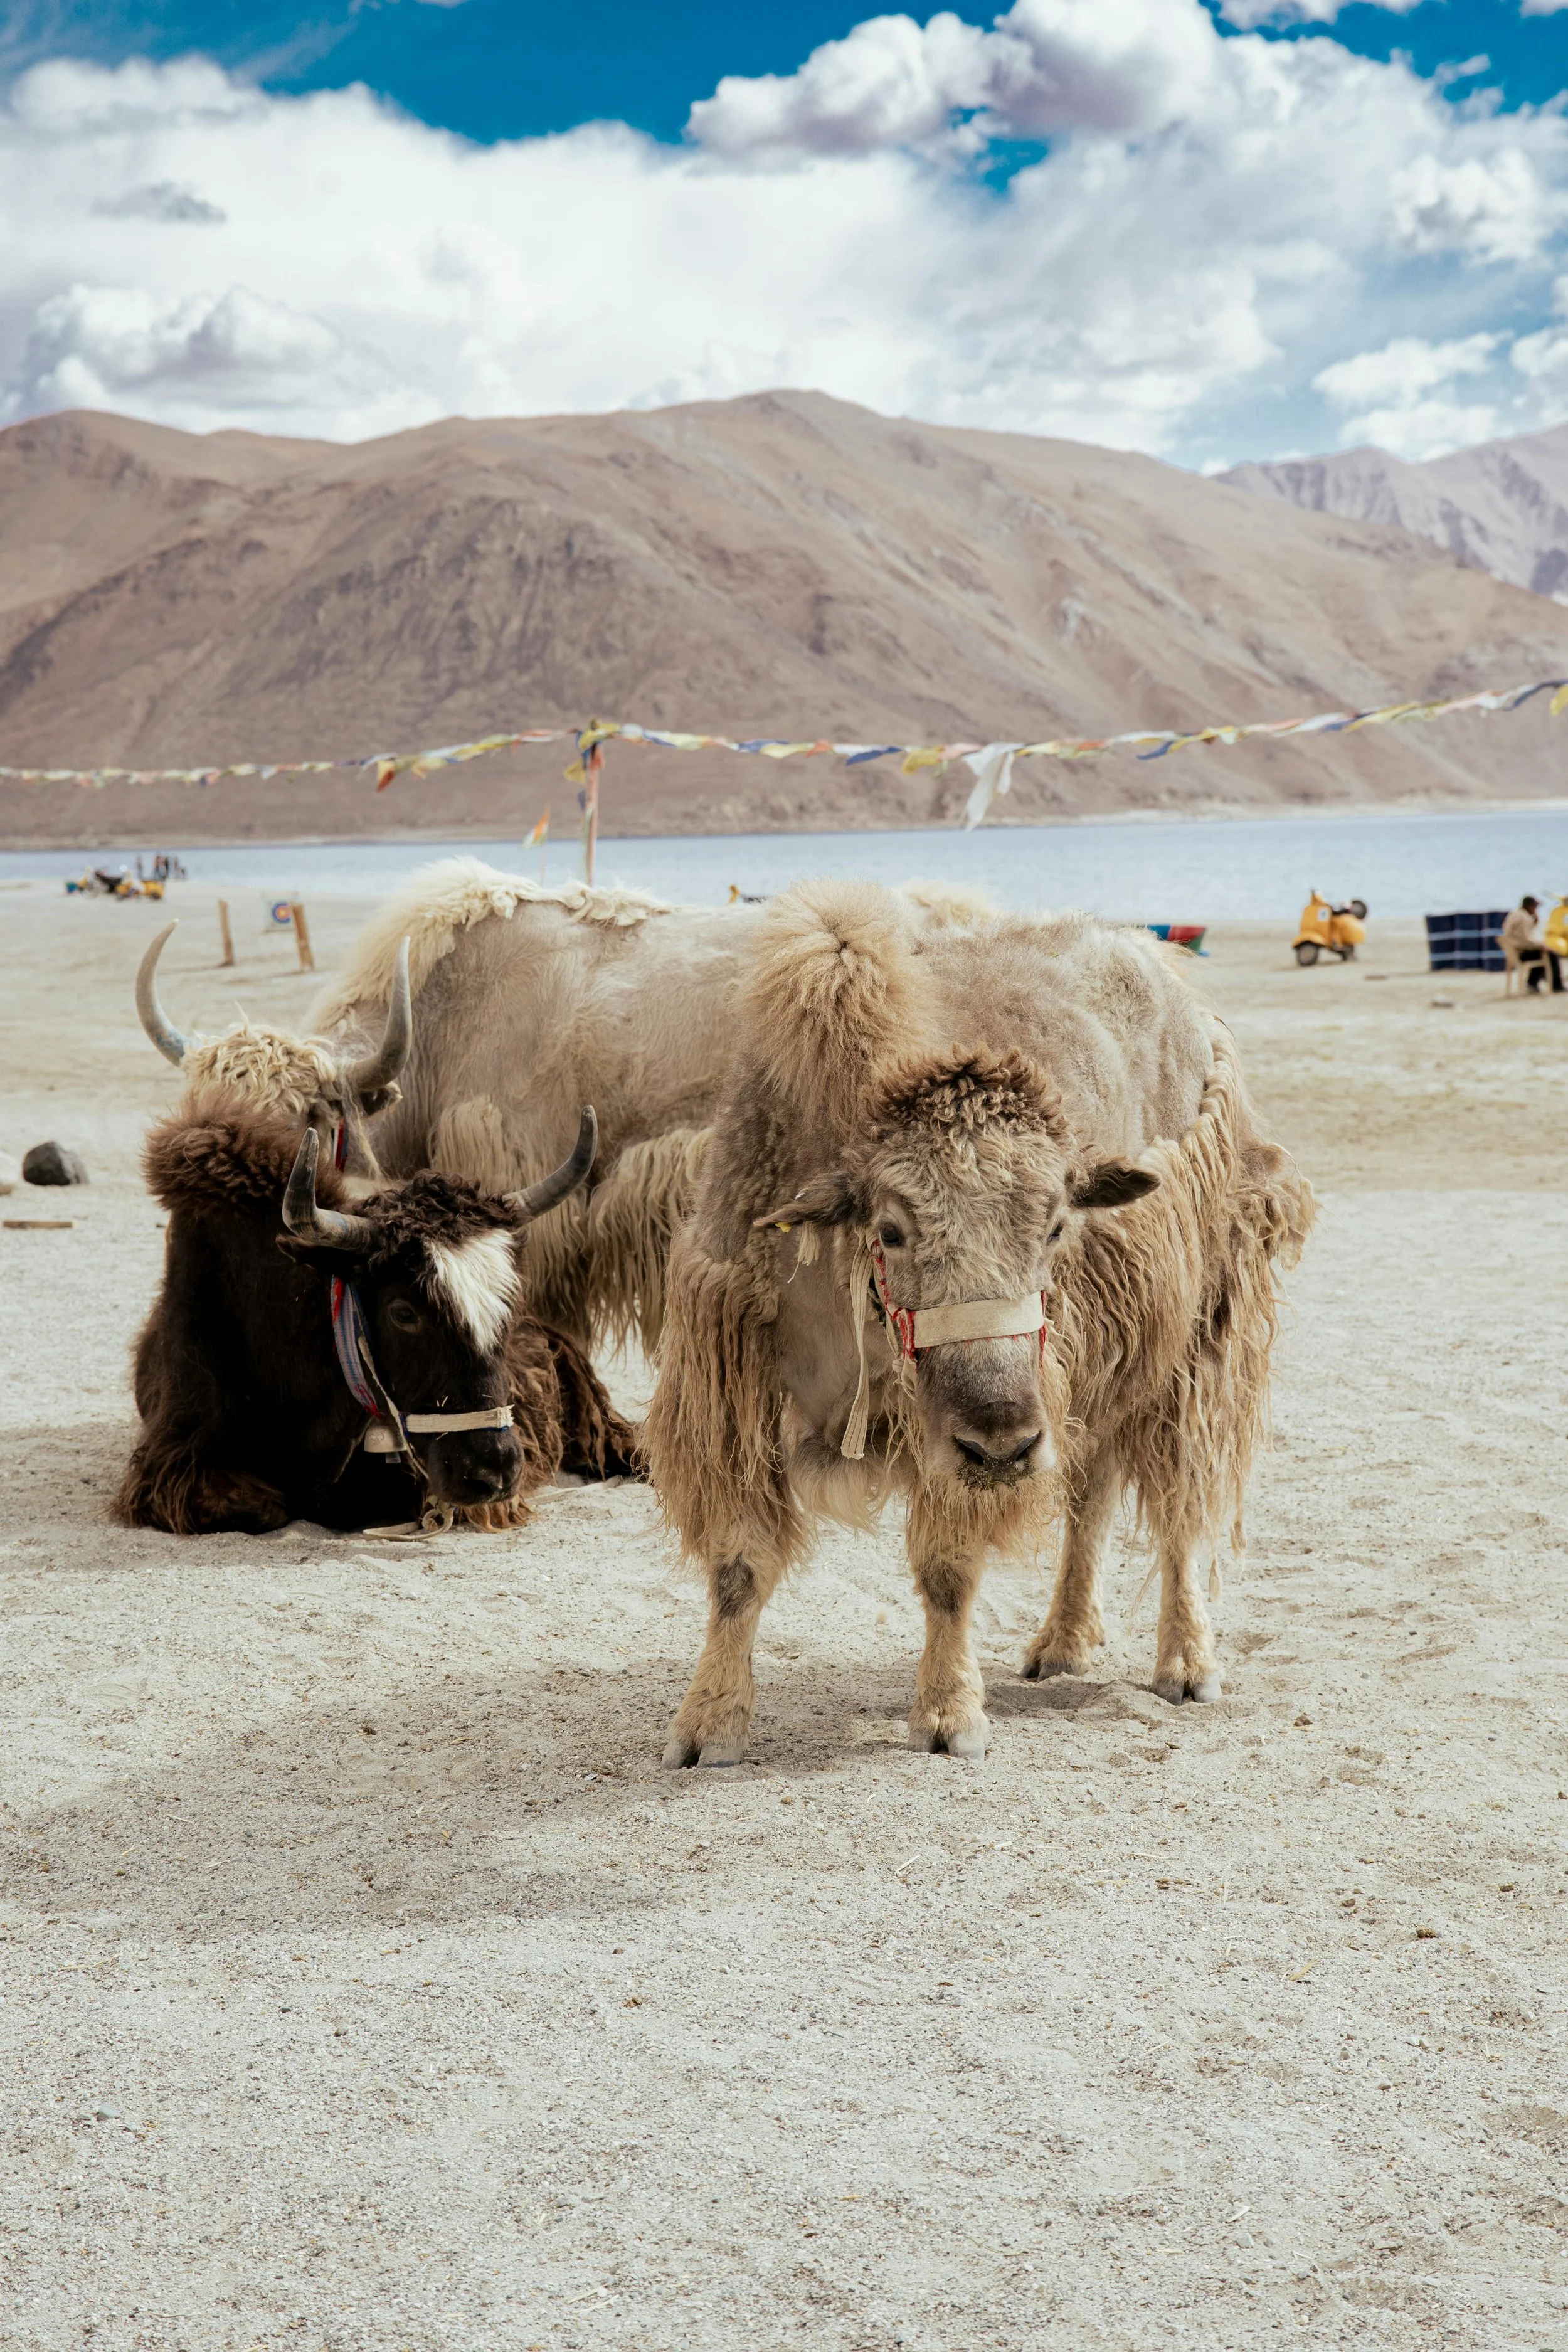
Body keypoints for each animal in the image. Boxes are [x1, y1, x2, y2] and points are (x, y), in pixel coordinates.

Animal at [644, 880, 1315, 1767]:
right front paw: (707, 1725)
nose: (1001, 1443)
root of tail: (1173, 984)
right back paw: (1062, 1644)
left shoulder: (970, 1437)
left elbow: (947, 1570)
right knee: (1091, 1495)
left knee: (1179, 1501)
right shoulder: (733, 1388)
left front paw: (948, 1715)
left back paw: (1186, 1663)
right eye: (890, 1229)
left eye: (1058, 1226)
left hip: (1189, 1345)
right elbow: (738, 1564)